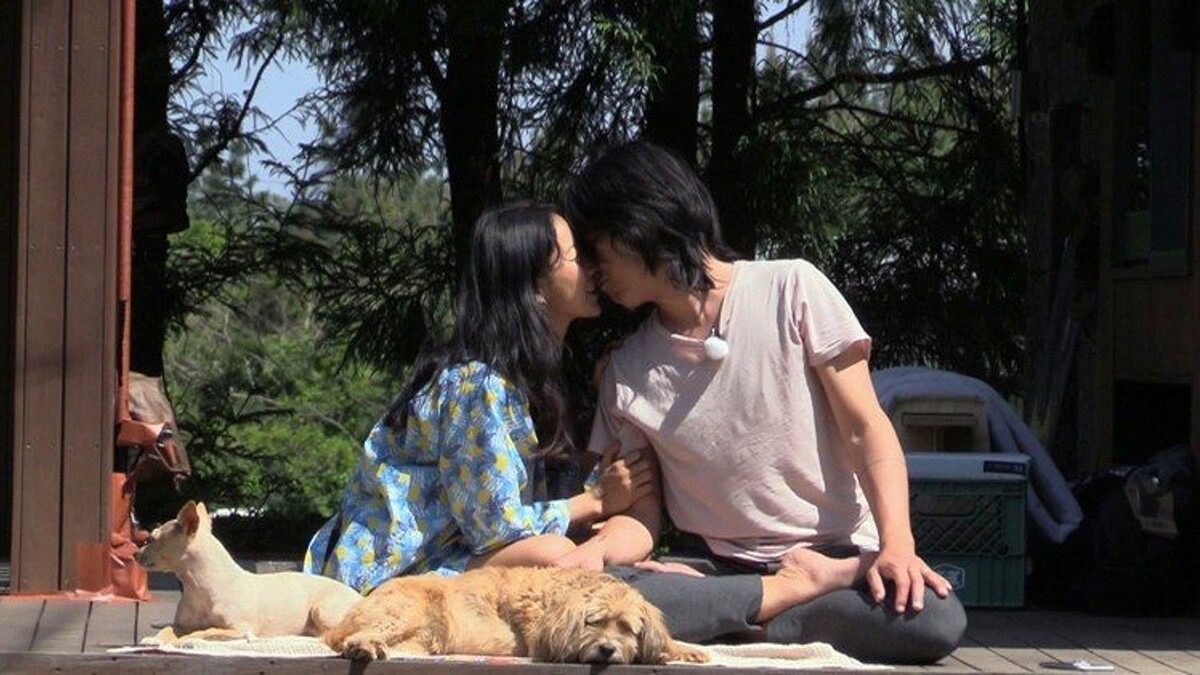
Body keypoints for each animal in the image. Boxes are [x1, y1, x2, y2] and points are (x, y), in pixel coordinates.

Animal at [135, 500, 362, 643]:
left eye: (152, 539)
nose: (136, 554)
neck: (198, 587)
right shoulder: (180, 625)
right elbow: (169, 629)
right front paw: (154, 639)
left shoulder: (238, 628)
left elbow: (206, 630)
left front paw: (186, 640)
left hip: (323, 610)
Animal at [324, 566, 709, 664]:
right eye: (594, 623)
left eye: (626, 628)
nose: (607, 649)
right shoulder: (544, 642)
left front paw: (682, 650)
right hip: (406, 609)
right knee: (351, 639)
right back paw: (363, 648)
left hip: (422, 638)